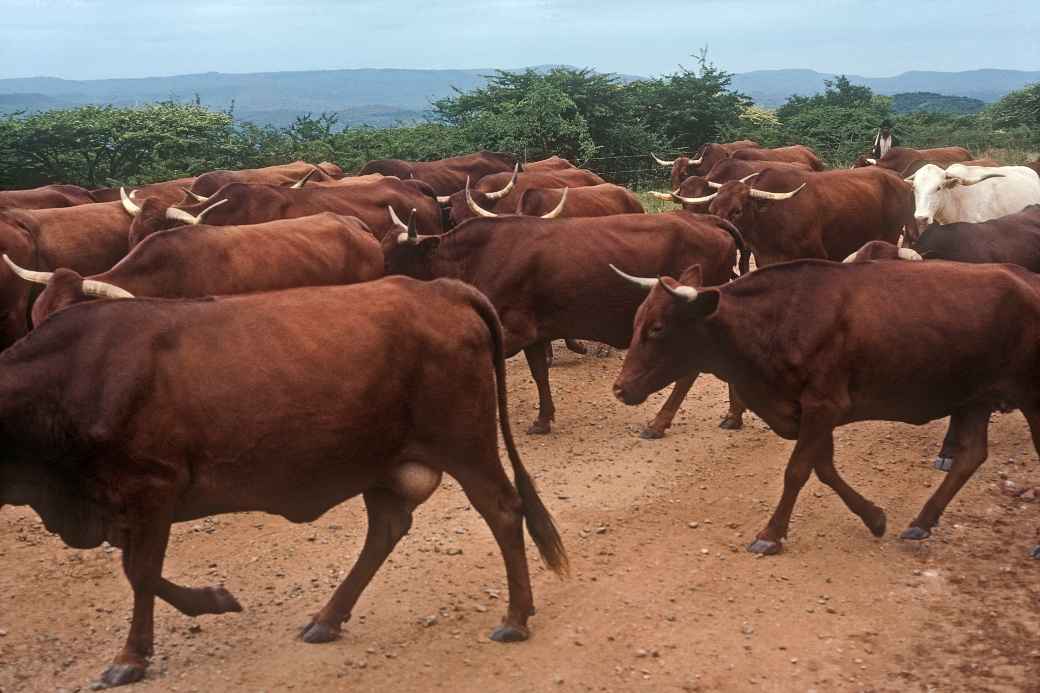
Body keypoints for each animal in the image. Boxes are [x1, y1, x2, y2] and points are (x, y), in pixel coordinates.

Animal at [0, 276, 568, 686]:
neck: (68, 378)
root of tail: (438, 289)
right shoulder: (119, 506)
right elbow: (142, 570)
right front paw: (214, 600)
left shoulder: (151, 488)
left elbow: (140, 573)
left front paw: (131, 657)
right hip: (381, 461)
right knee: (386, 528)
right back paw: (328, 617)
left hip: (466, 445)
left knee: (503, 510)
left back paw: (516, 616)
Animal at [382, 210, 745, 438]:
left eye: (394, 258)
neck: (481, 255)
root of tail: (704, 218)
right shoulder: (533, 333)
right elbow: (540, 373)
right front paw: (544, 418)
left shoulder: (514, 330)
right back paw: (734, 414)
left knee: (688, 373)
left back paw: (660, 423)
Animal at [611, 259, 1040, 559]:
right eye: (636, 321)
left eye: (658, 328)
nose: (620, 388)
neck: (779, 321)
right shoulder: (812, 413)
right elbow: (823, 467)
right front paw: (874, 517)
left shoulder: (824, 405)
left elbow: (798, 470)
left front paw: (771, 535)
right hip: (976, 398)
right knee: (971, 455)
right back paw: (922, 521)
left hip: (1025, 397)